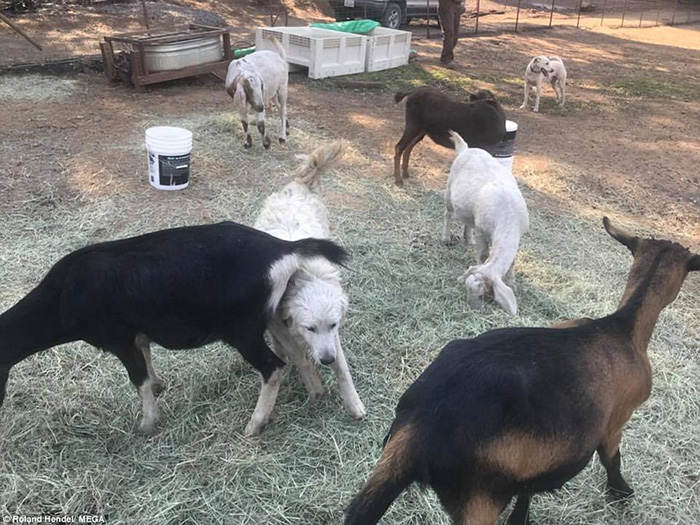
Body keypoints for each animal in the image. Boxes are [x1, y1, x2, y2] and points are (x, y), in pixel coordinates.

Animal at [0, 220, 348, 434]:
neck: (63, 294)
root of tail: (282, 248)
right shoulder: (137, 331)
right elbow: (146, 357)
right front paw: (158, 387)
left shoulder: (118, 336)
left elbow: (137, 378)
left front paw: (147, 424)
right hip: (269, 314)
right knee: (297, 352)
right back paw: (316, 393)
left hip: (241, 328)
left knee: (273, 367)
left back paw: (255, 425)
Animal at [256, 139, 366, 418]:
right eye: (310, 328)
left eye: (333, 325)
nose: (326, 360)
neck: (304, 274)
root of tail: (301, 184)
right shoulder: (275, 319)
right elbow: (298, 353)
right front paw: (314, 385)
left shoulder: (333, 336)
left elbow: (343, 369)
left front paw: (352, 401)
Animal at [346, 217, 700, 524]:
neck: (624, 327)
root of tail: (419, 427)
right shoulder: (617, 419)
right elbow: (612, 457)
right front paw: (621, 492)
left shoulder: (532, 465)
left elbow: (528, 490)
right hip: (479, 500)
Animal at [442, 130, 532, 316]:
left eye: (482, 291)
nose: (472, 307)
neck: (508, 218)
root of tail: (465, 149)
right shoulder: (482, 233)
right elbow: (483, 256)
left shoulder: (519, 236)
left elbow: (513, 261)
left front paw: (512, 281)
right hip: (449, 191)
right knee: (448, 214)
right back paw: (446, 238)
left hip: (470, 209)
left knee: (467, 221)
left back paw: (468, 239)